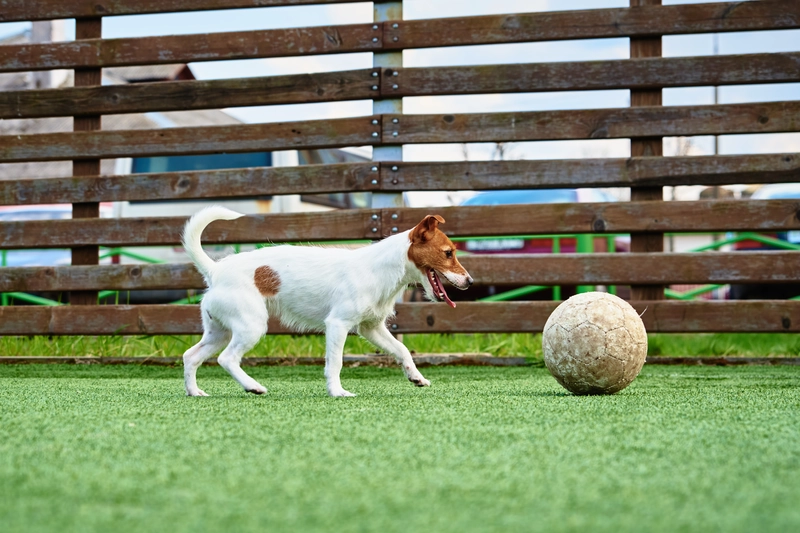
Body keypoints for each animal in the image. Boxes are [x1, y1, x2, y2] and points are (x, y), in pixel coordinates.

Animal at [181, 206, 472, 396]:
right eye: (448, 253)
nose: (470, 282)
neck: (381, 269)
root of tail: (216, 269)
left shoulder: (372, 328)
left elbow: (401, 351)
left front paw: (416, 377)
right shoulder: (338, 325)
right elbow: (335, 362)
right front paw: (337, 392)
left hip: (219, 331)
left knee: (191, 356)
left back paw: (195, 392)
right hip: (251, 326)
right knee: (227, 359)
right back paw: (253, 387)